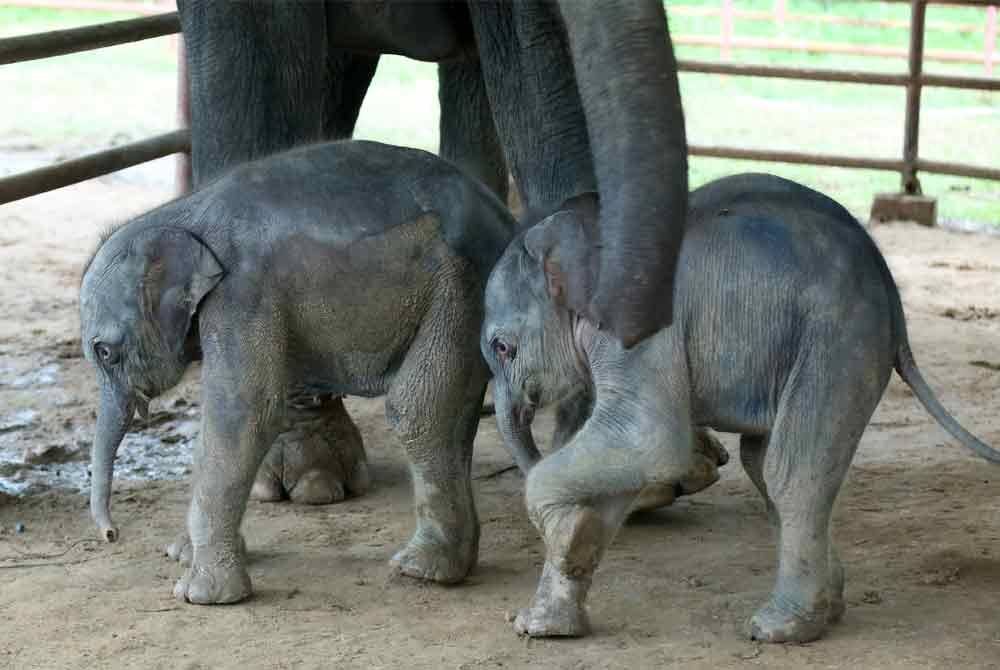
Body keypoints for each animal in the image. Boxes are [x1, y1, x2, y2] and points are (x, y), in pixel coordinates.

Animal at [80, 139, 516, 608]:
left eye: (105, 352)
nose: (111, 534)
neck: (176, 215)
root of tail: (506, 221)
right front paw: (182, 554)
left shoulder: (242, 295)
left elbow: (243, 414)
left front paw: (200, 594)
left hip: (463, 286)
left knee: (418, 410)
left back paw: (421, 570)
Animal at [480, 173, 996, 644]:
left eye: (503, 347)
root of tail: (893, 296)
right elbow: (625, 462)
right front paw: (545, 619)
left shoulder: (639, 328)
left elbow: (646, 439)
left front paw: (569, 539)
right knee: (762, 464)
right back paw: (828, 606)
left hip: (837, 341)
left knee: (794, 474)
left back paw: (780, 628)